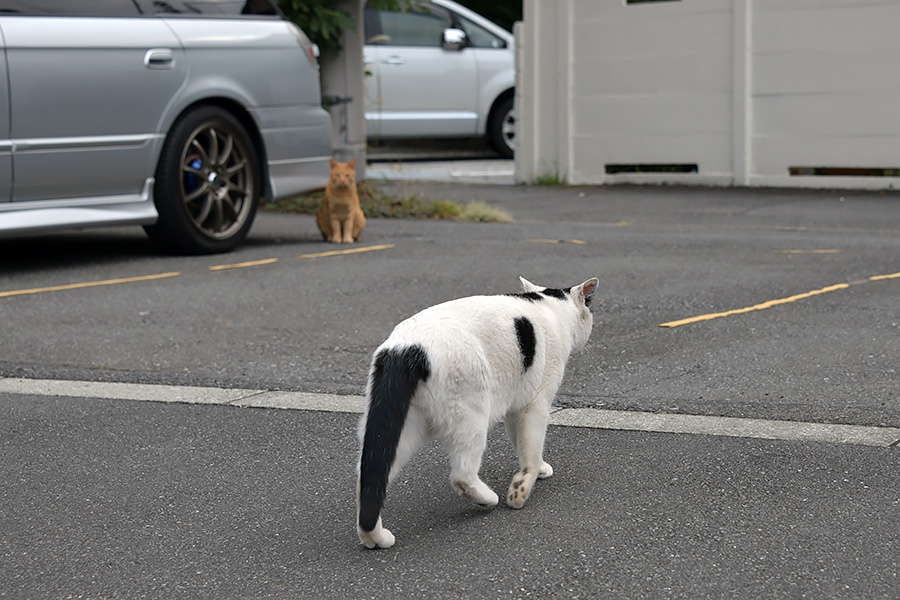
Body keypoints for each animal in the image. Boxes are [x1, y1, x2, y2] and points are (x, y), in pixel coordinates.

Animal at [356, 276, 596, 548]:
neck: (550, 306)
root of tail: (406, 347)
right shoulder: (536, 403)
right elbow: (531, 451)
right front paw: (521, 488)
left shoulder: (516, 406)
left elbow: (521, 443)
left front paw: (538, 469)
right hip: (471, 416)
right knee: (461, 474)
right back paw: (488, 499)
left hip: (401, 429)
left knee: (370, 473)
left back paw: (373, 536)